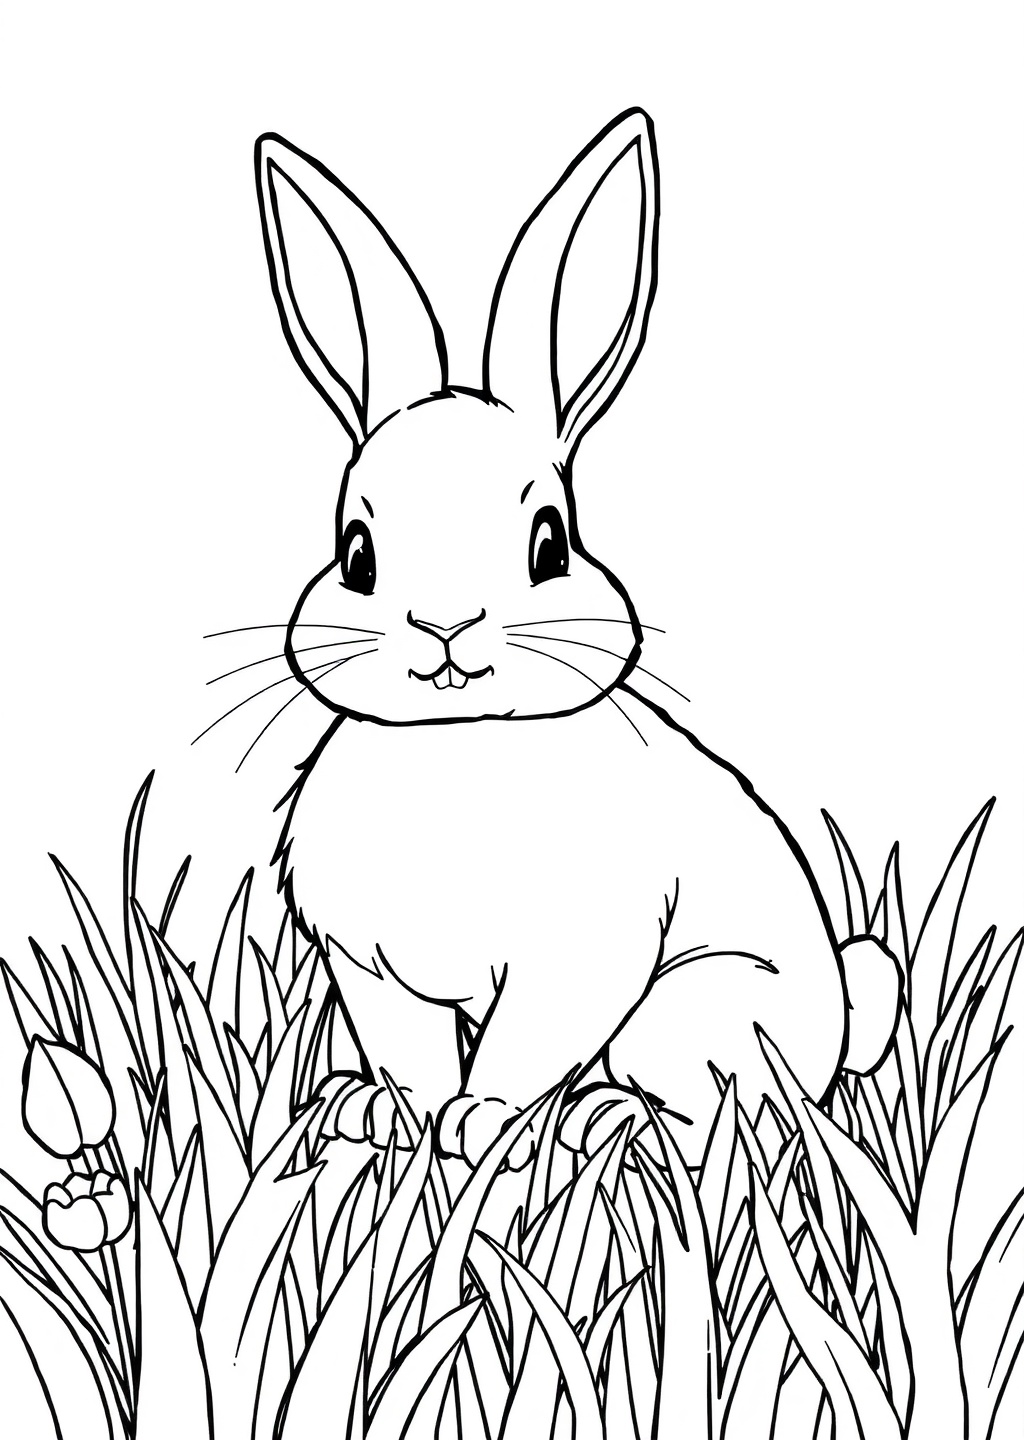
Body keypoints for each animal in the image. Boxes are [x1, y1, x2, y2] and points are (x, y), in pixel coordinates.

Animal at [254, 110, 900, 1166]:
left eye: (548, 542)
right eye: (357, 554)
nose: (444, 625)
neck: (457, 749)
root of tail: (842, 1026)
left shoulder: (579, 960)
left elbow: (523, 1046)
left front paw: (480, 1128)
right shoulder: (372, 972)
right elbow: (411, 1053)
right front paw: (392, 1119)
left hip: (689, 1016)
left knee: (731, 1128)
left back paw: (603, 1122)